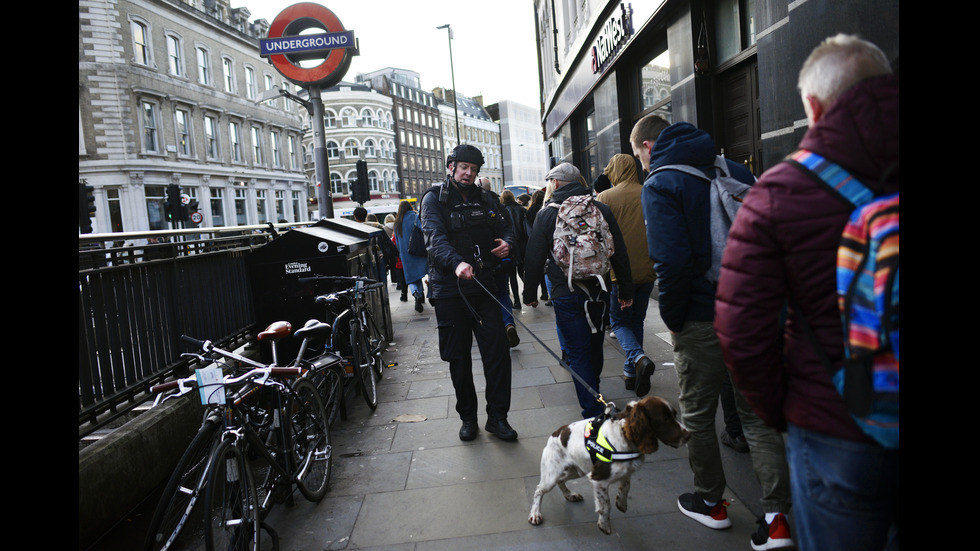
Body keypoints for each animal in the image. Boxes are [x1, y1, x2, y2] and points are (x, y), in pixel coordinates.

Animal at [528, 396, 688, 536]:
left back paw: (570, 495)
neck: (626, 437)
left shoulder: (626, 472)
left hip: (577, 470)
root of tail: (555, 433)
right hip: (551, 475)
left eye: (675, 415)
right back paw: (535, 514)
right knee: (538, 490)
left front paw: (621, 504)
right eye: (665, 419)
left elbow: (625, 487)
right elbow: (605, 506)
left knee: (561, 480)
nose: (689, 435)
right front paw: (604, 526)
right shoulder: (598, 479)